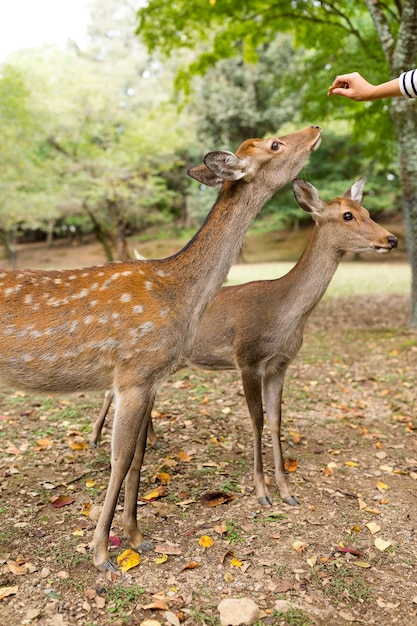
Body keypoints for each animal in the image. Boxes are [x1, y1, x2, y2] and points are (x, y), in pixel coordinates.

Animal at [0, 124, 322, 568]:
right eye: (274, 144)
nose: (315, 129)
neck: (177, 295)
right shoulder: (134, 371)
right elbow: (119, 459)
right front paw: (101, 552)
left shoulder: (151, 379)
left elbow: (138, 456)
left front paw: (136, 538)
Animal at [91, 177, 396, 508]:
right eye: (347, 215)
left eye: (367, 211)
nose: (391, 239)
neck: (283, 316)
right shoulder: (248, 358)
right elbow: (257, 419)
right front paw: (262, 492)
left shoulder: (280, 365)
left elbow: (276, 420)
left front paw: (287, 491)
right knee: (112, 390)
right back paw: (95, 438)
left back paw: (150, 439)